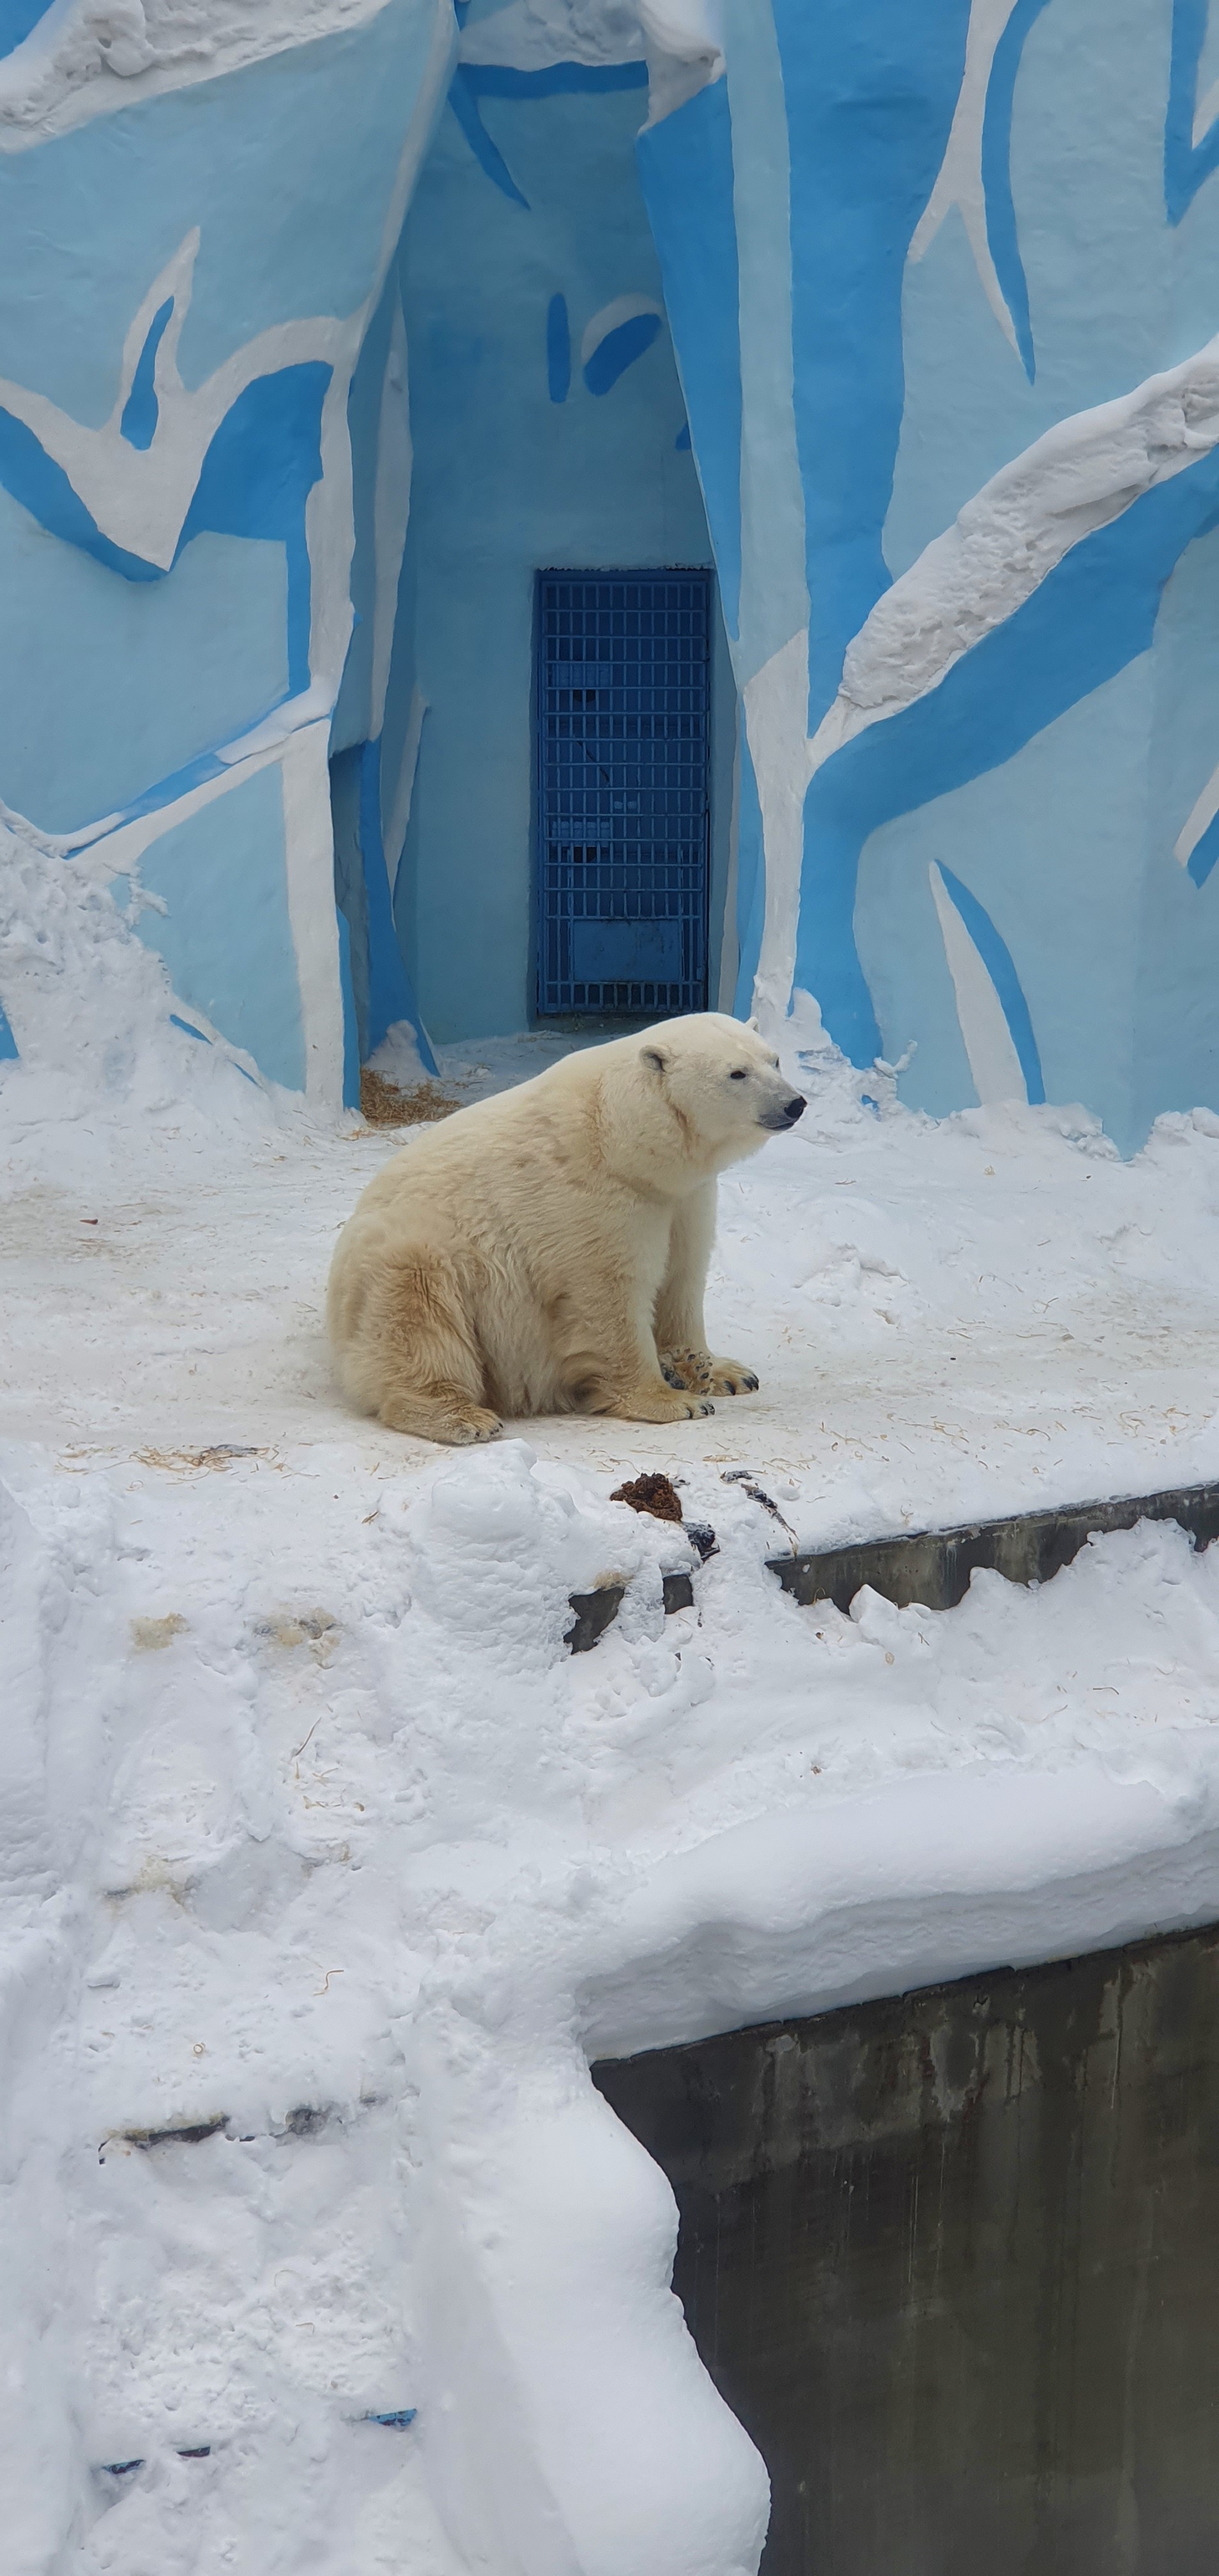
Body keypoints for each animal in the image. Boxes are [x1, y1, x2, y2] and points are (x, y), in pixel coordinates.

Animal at [326, 1009, 809, 1453]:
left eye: (775, 1060)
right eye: (737, 1073)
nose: (794, 1104)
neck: (622, 1138)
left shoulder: (685, 1198)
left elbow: (683, 1277)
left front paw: (717, 1370)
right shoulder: (594, 1200)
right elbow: (608, 1293)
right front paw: (672, 1400)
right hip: (409, 1254)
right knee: (419, 1307)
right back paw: (463, 1416)